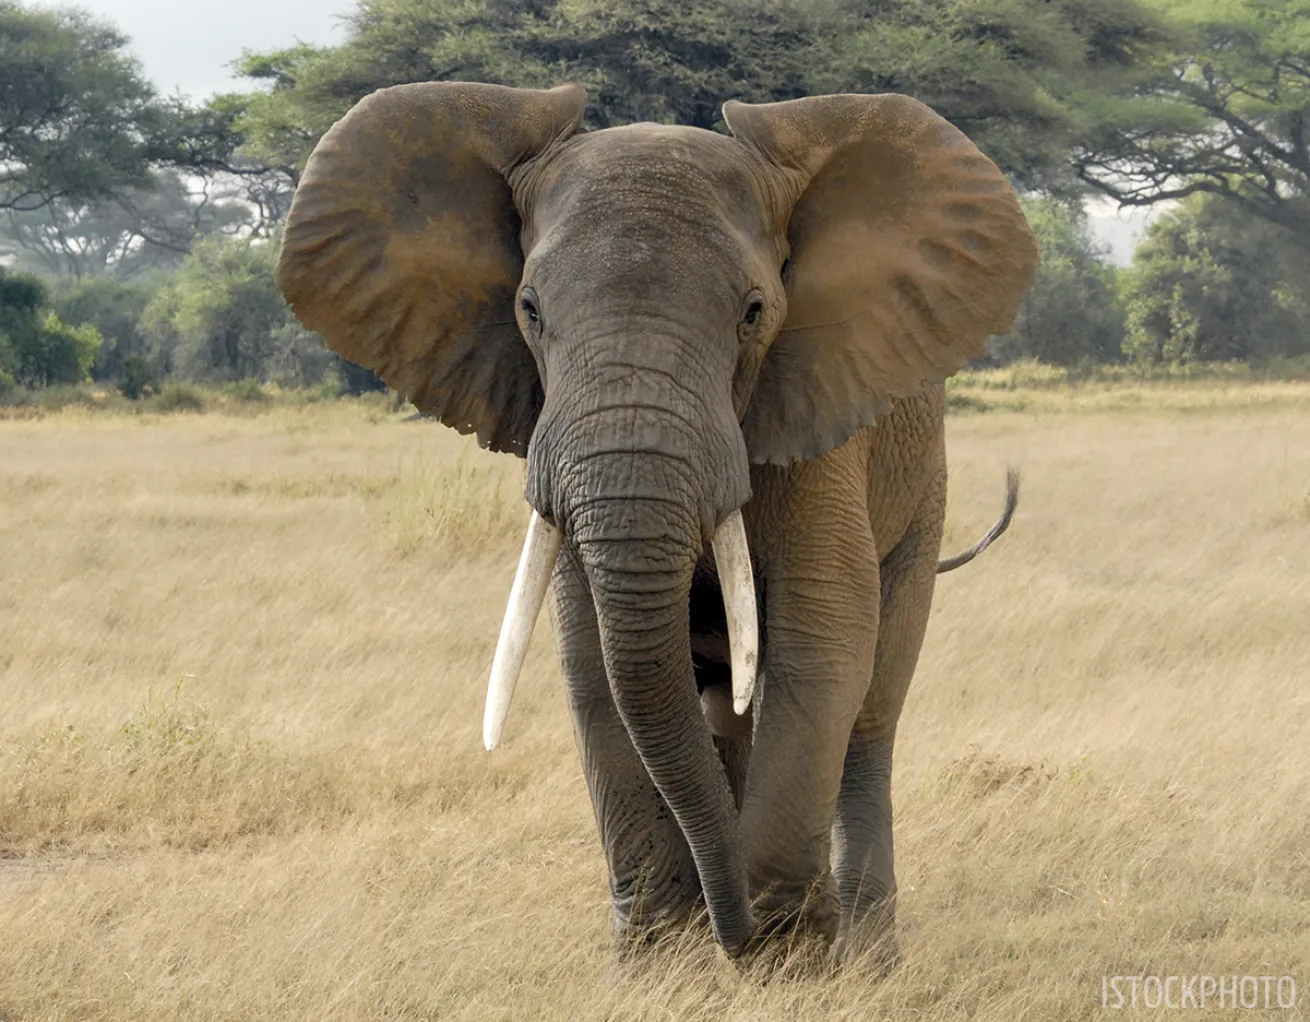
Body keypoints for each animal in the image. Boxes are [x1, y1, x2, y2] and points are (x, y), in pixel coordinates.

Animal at [276, 81, 1038, 962]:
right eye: (528, 309)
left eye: (754, 313)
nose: (734, 934)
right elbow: (594, 664)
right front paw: (667, 961)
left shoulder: (817, 423)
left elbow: (821, 644)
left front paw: (781, 958)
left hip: (921, 501)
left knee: (871, 710)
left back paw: (867, 954)